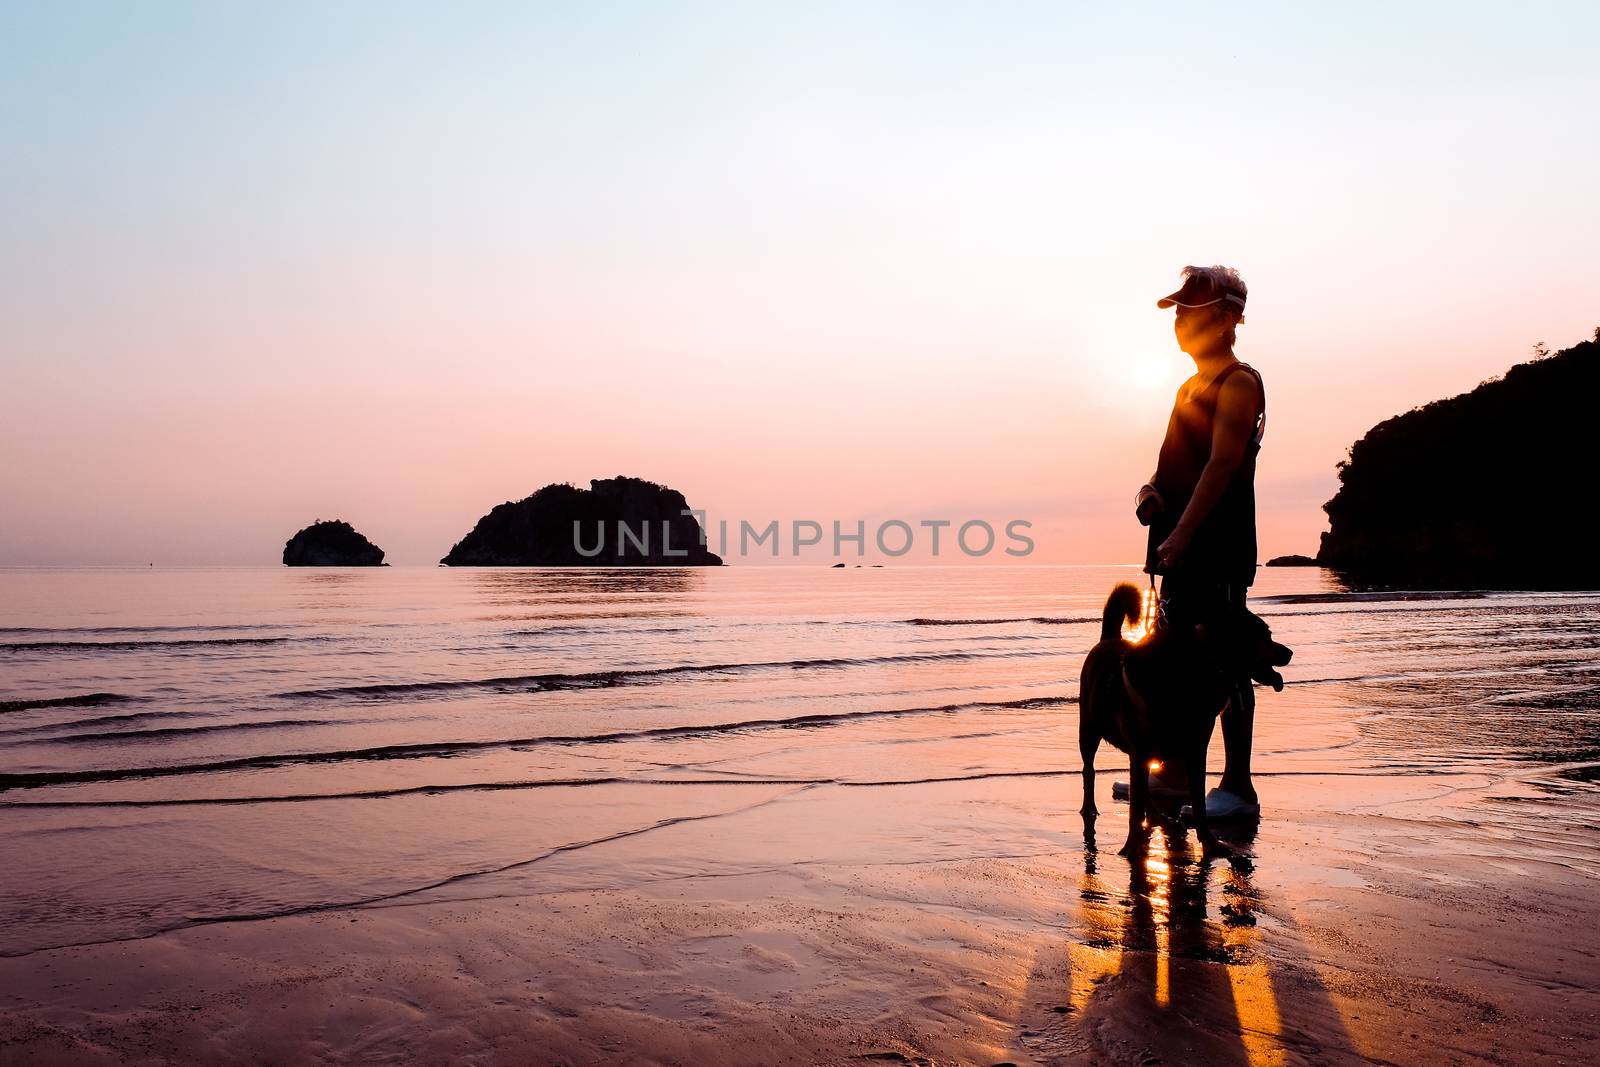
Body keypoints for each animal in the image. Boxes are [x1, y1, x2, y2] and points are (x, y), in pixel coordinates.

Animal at [1081, 585, 1292, 857]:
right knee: (1090, 770)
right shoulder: (1141, 750)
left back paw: (1156, 814)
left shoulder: (1196, 748)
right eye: (1265, 634)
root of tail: (1108, 639)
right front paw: (1132, 846)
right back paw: (1090, 808)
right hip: (1089, 730)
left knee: (1143, 790)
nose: (1289, 652)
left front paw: (1210, 843)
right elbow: (1134, 809)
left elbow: (1199, 803)